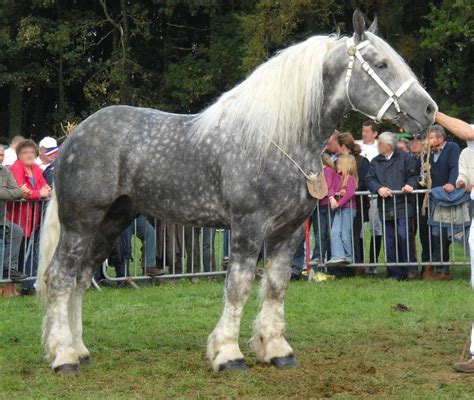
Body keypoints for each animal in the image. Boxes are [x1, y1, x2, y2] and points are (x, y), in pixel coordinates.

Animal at [36, 10, 436, 374]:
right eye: (382, 64)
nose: (430, 110)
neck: (278, 140)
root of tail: (75, 136)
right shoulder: (248, 227)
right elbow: (239, 286)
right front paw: (228, 353)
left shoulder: (289, 231)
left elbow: (276, 284)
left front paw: (276, 349)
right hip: (81, 222)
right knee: (60, 276)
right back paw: (63, 356)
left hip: (112, 221)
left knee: (81, 278)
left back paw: (79, 350)